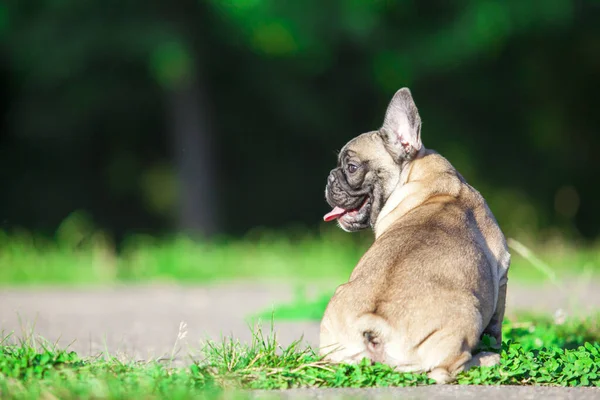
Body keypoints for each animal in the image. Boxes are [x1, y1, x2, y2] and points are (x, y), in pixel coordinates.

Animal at [322, 88, 508, 384]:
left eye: (351, 167)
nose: (329, 177)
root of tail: (375, 324)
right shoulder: (502, 273)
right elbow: (496, 327)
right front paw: (495, 348)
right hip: (469, 312)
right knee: (445, 371)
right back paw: (488, 359)